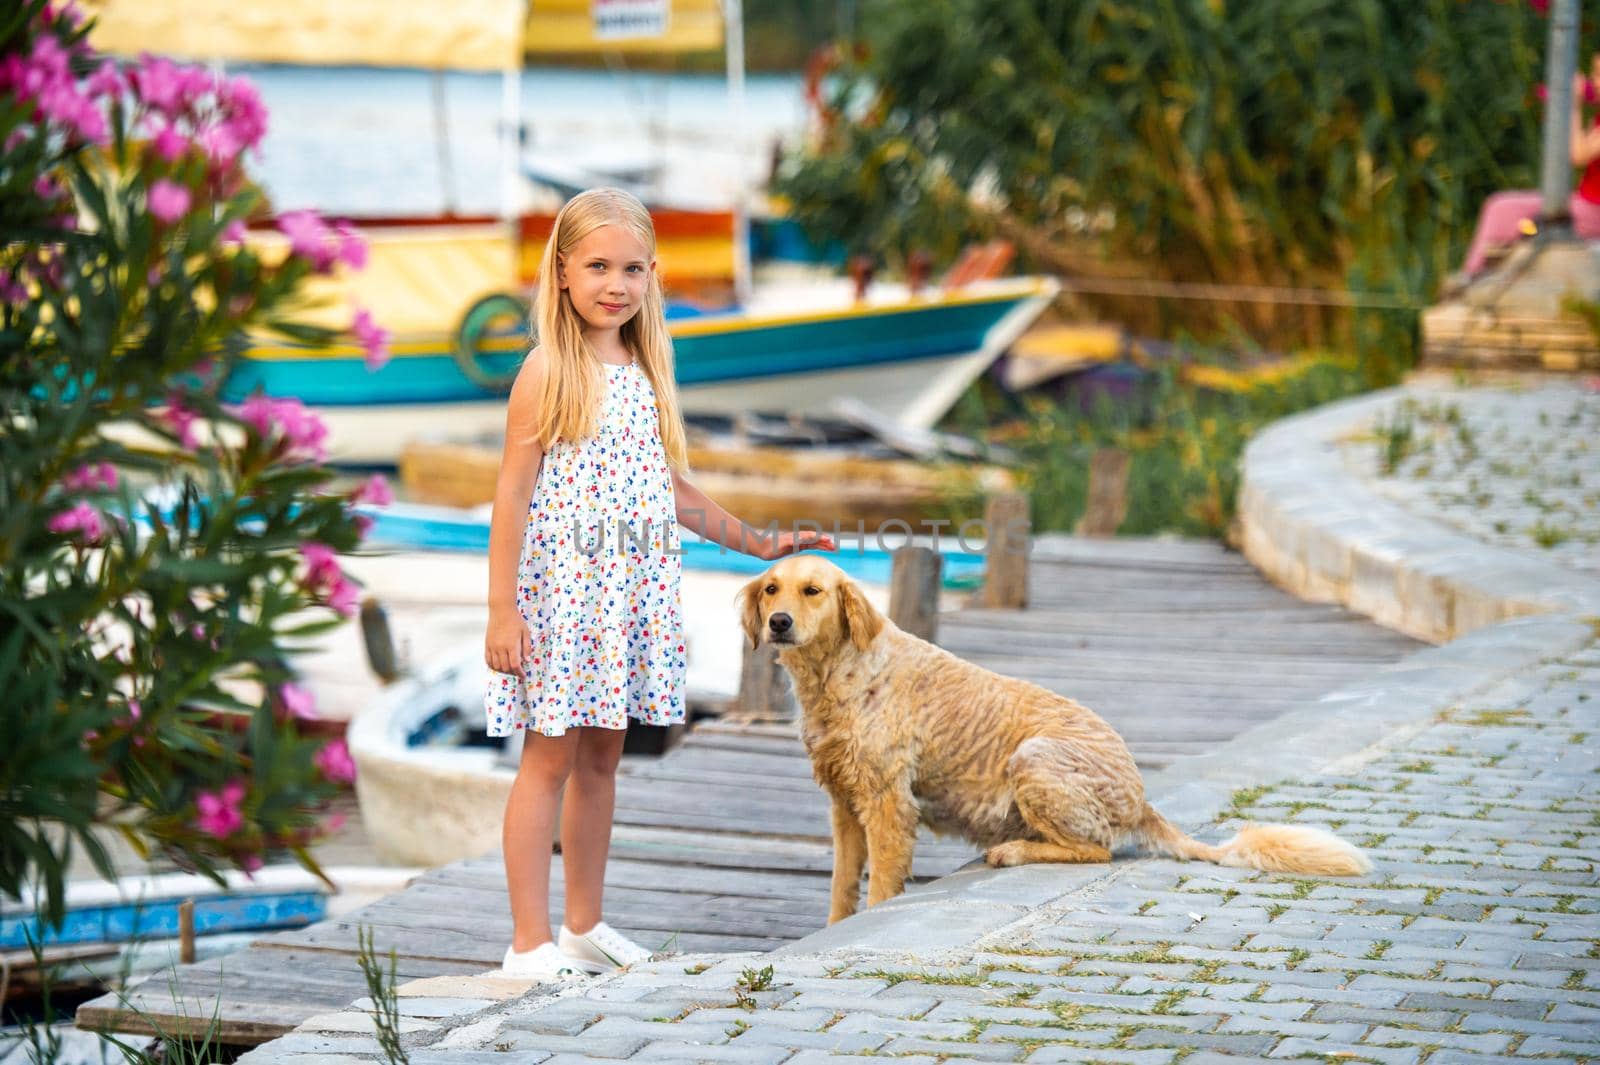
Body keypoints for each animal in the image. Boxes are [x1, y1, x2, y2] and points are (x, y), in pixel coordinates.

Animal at [739, 556, 1376, 921]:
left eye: (813, 591)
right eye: (772, 589)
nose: (779, 623)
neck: (839, 674)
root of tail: (1143, 799)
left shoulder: (888, 805)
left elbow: (880, 892)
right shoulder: (846, 805)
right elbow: (842, 892)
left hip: (1034, 757)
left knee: (1095, 849)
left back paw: (1015, 849)